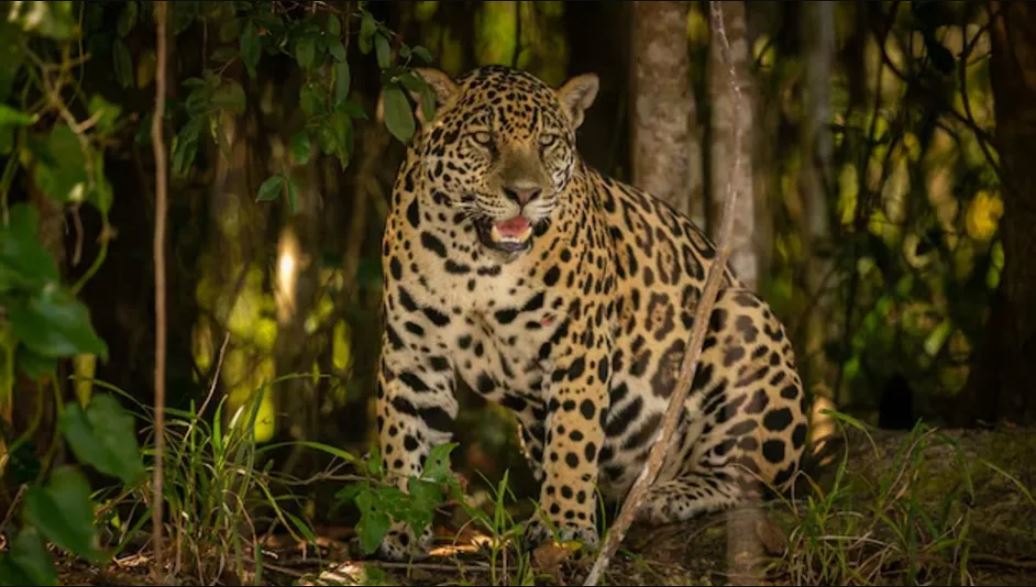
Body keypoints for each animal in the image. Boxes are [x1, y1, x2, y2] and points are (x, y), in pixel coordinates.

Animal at [373, 64, 808, 560]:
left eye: (546, 142)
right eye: (484, 139)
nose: (524, 193)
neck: (476, 264)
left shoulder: (577, 343)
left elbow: (573, 439)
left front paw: (563, 526)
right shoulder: (414, 354)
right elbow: (405, 441)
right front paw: (401, 525)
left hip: (744, 319)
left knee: (751, 478)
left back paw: (667, 495)